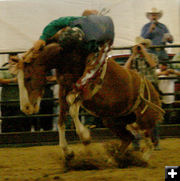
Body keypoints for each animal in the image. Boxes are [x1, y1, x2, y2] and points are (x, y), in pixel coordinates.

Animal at [9, 26, 165, 161]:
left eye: (28, 77)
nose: (25, 108)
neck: (68, 56)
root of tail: (153, 90)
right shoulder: (63, 89)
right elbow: (61, 120)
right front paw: (68, 152)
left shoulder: (84, 91)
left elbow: (72, 109)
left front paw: (85, 137)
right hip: (112, 119)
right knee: (129, 138)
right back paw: (113, 159)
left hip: (143, 119)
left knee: (149, 138)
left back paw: (143, 158)